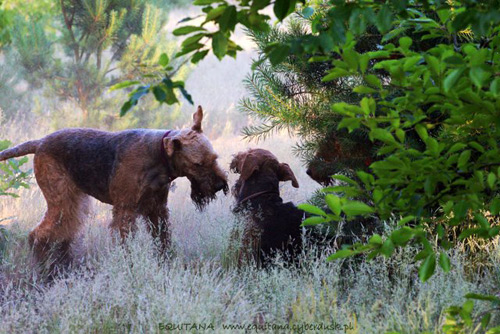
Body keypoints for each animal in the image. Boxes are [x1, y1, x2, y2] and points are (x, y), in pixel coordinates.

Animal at [0, 107, 229, 268]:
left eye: (214, 158)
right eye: (198, 164)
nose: (220, 185)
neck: (158, 157)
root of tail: (39, 143)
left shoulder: (157, 210)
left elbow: (162, 239)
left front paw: (166, 262)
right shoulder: (125, 210)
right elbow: (124, 242)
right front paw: (128, 265)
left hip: (74, 202)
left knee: (62, 233)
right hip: (61, 200)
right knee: (38, 235)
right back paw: (44, 269)